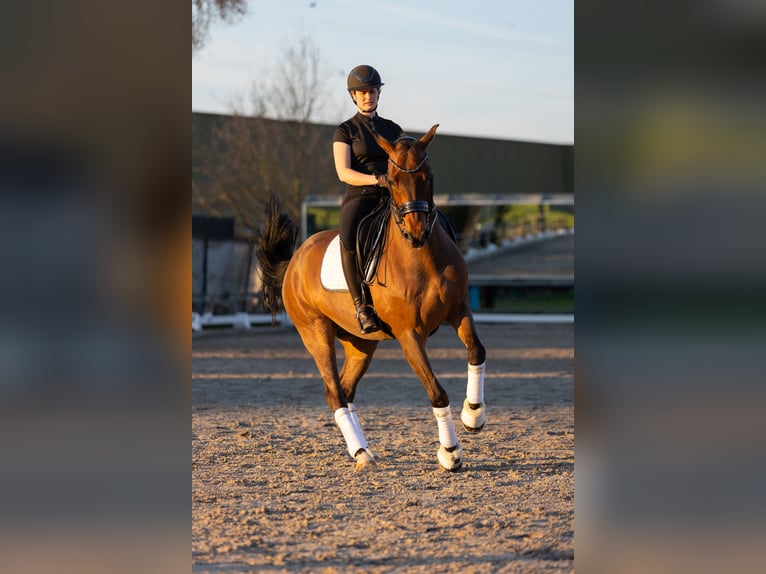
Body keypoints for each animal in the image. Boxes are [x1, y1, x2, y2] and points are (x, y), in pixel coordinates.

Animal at [256, 124, 486, 472]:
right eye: (391, 179)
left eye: (428, 175)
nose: (417, 232)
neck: (421, 257)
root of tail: (295, 258)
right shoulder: (409, 335)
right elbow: (436, 391)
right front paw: (450, 453)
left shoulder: (459, 312)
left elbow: (476, 351)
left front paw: (473, 415)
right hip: (315, 333)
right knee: (335, 393)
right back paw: (361, 453)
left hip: (360, 343)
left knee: (346, 388)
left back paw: (364, 450)